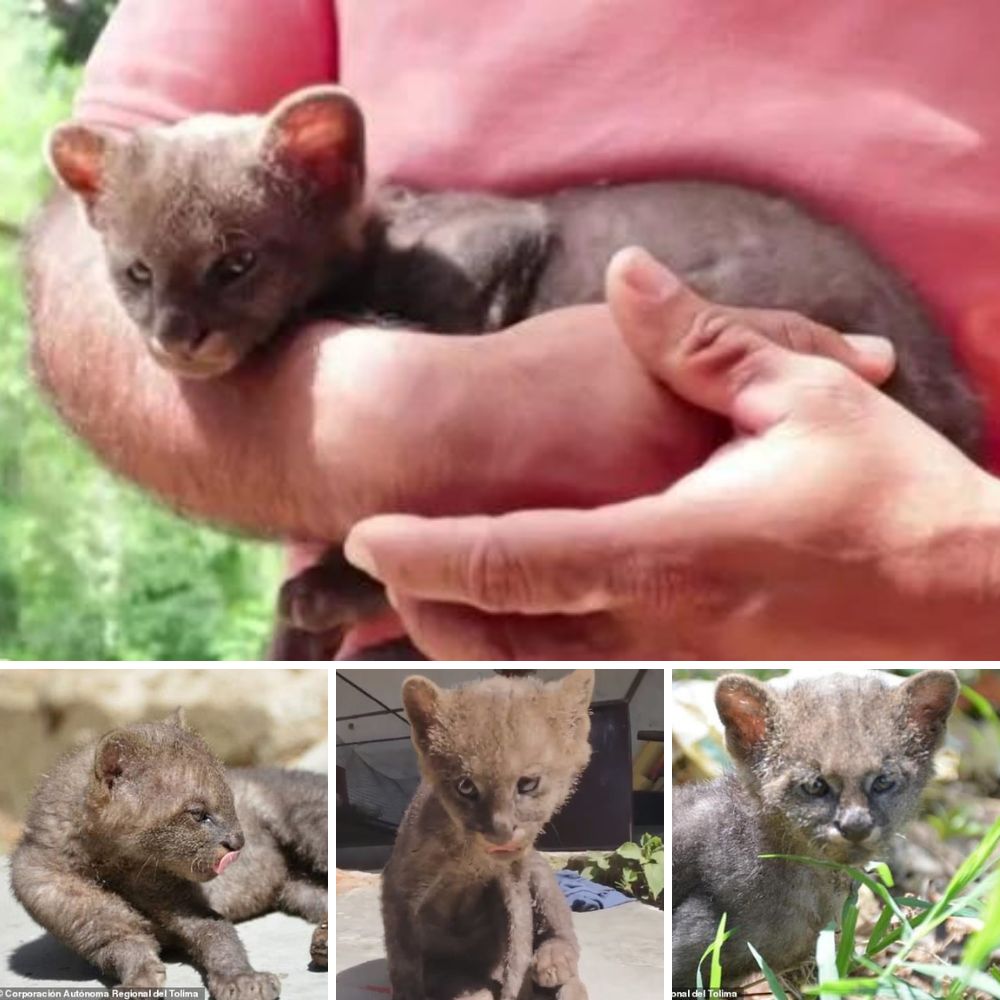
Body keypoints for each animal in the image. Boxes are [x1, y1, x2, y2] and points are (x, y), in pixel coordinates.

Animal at [9, 712, 328, 1000]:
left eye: (231, 801)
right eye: (198, 813)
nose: (240, 842)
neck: (114, 871)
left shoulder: (189, 908)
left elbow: (221, 938)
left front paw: (243, 980)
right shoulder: (97, 929)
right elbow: (130, 952)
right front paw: (137, 984)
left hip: (309, 827)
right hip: (295, 888)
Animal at [382, 672, 592, 1000]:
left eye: (528, 784)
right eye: (466, 787)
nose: (501, 831)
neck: (469, 861)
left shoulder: (513, 883)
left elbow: (519, 954)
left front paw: (519, 989)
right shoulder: (400, 888)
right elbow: (403, 962)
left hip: (539, 871)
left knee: (563, 937)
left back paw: (553, 965)